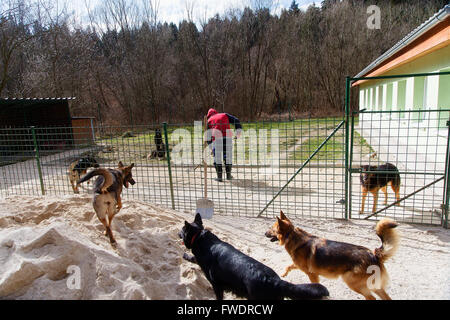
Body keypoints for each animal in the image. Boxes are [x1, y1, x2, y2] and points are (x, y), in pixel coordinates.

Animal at [178, 212, 328, 300]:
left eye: (182, 230)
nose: (178, 233)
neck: (200, 237)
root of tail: (275, 281)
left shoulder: (216, 285)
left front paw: (185, 255)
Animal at [266, 211, 400, 298]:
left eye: (271, 229)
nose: (264, 233)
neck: (292, 236)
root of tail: (373, 254)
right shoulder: (299, 265)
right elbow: (289, 266)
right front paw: (284, 273)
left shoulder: (311, 274)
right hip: (373, 285)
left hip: (351, 281)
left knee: (371, 297)